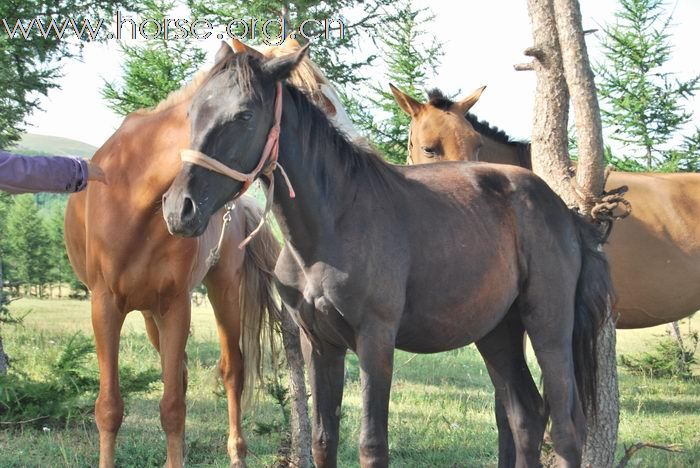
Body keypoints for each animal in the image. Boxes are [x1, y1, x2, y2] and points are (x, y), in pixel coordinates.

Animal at [160, 44, 612, 468]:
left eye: (243, 116)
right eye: (193, 112)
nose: (179, 209)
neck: (334, 223)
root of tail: (565, 213)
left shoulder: (375, 340)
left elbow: (372, 444)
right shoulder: (319, 343)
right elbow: (323, 439)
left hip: (549, 326)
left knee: (566, 428)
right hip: (497, 331)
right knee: (526, 417)